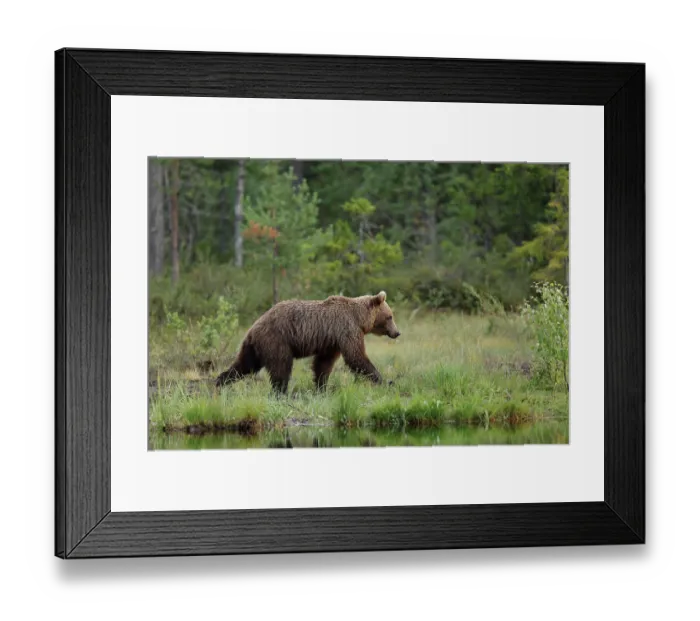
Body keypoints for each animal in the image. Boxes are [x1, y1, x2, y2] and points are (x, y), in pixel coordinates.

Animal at [215, 291, 400, 394]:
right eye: (390, 316)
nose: (397, 332)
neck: (360, 319)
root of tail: (253, 328)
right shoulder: (346, 330)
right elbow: (356, 356)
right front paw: (384, 380)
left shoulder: (332, 340)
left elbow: (323, 363)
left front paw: (321, 386)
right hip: (277, 341)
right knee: (281, 368)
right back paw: (281, 392)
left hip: (254, 347)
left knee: (244, 365)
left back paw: (219, 383)